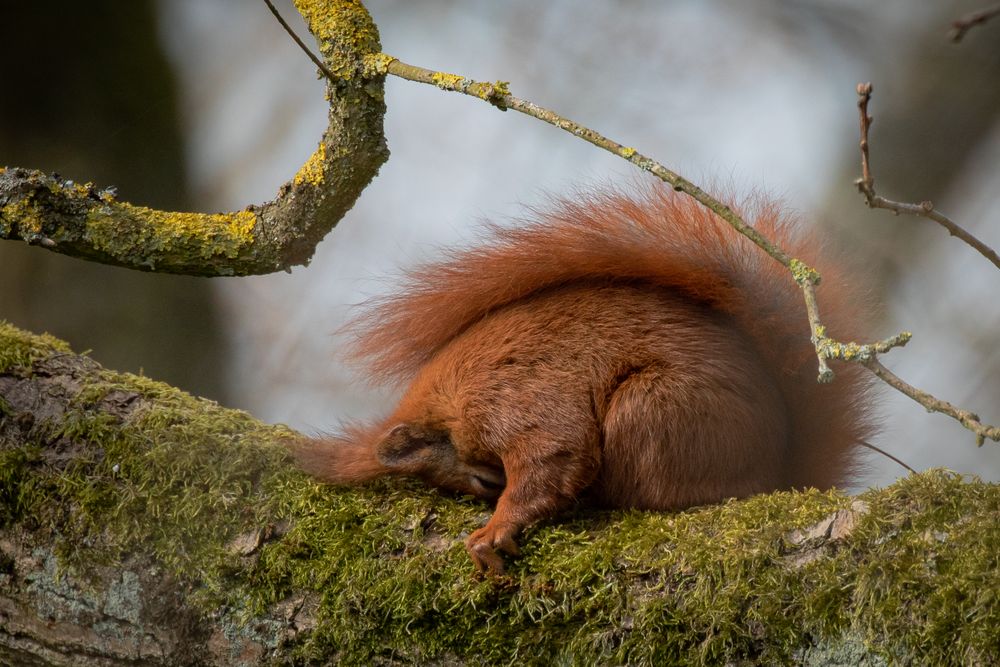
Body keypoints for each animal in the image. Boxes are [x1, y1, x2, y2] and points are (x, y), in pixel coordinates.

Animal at [294, 187, 876, 576]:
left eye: (484, 483)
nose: (492, 494)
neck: (453, 396)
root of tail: (778, 473)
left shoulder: (513, 399)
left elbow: (556, 451)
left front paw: (496, 530)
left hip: (653, 412)